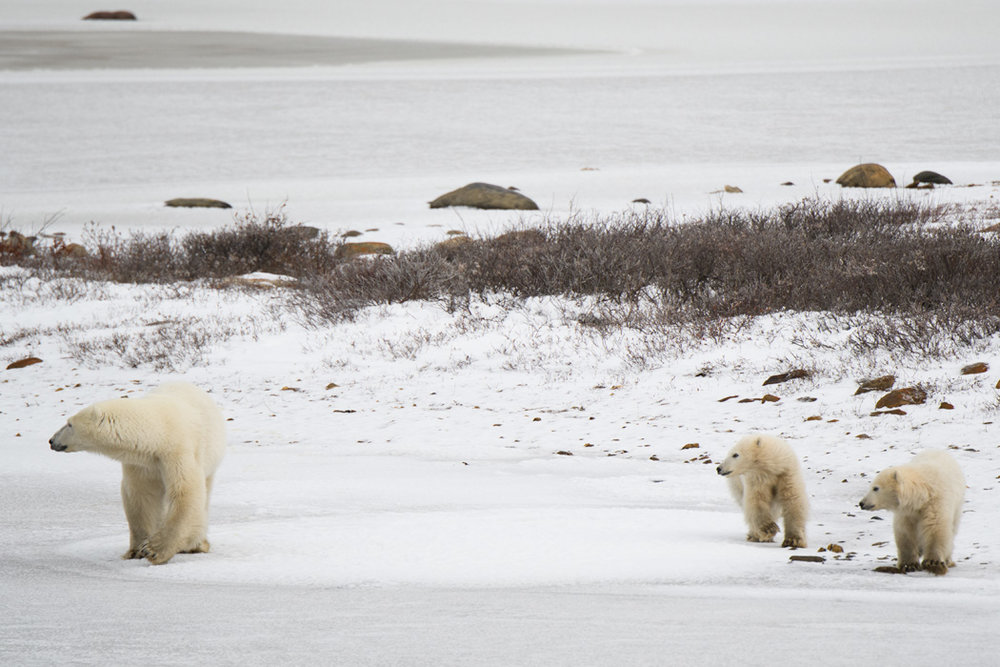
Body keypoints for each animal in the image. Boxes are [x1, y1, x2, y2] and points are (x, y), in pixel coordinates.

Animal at [49, 382, 226, 565]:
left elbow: (185, 492)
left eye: (69, 424)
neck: (159, 431)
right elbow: (140, 497)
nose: (51, 441)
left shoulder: (178, 451)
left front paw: (154, 550)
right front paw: (135, 551)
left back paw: (196, 544)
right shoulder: (142, 462)